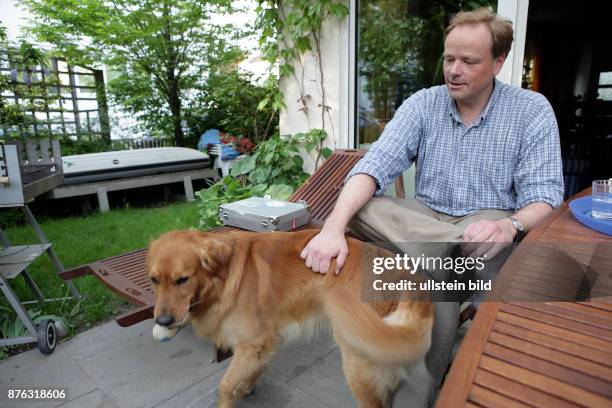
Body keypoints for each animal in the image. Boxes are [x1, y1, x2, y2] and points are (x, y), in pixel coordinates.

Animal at [146, 230, 432, 408]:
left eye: (183, 279)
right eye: (154, 280)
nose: (163, 321)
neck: (223, 279)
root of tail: (404, 274)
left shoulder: (253, 342)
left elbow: (224, 386)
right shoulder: (264, 343)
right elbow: (250, 372)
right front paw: (246, 386)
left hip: (358, 361)